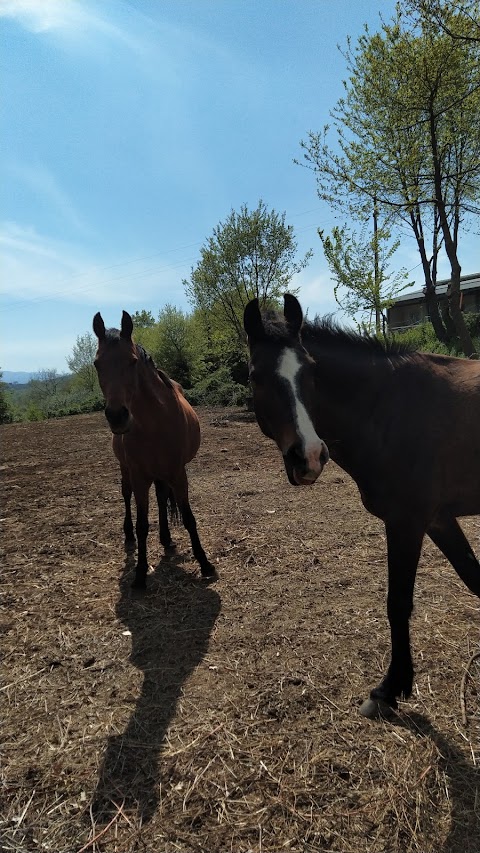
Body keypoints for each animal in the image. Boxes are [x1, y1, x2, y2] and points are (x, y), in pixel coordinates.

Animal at [92, 312, 216, 584]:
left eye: (132, 361)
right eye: (97, 364)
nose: (117, 417)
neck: (154, 422)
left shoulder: (178, 473)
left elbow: (189, 518)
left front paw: (204, 563)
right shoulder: (139, 477)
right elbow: (142, 524)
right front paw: (140, 572)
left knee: (160, 497)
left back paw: (166, 538)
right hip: (126, 469)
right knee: (126, 495)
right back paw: (129, 535)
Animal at [246, 296, 478, 716]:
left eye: (311, 370)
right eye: (256, 376)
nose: (309, 457)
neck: (389, 410)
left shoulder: (406, 522)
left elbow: (398, 603)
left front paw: (389, 689)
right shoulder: (438, 519)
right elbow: (474, 578)